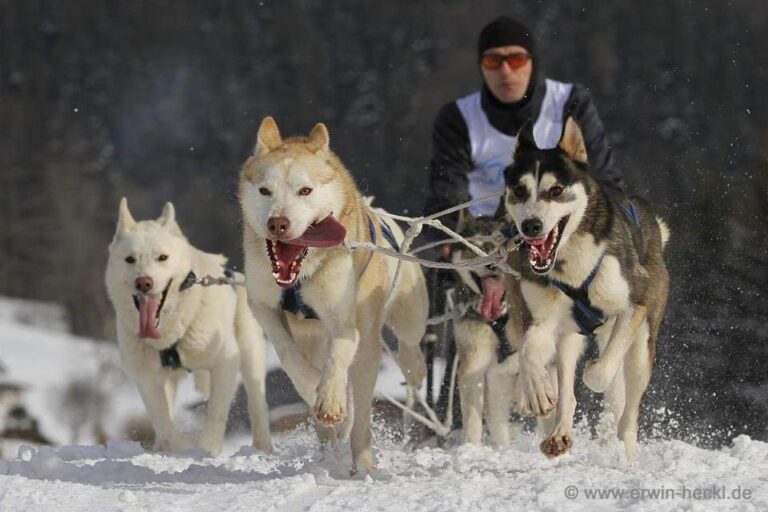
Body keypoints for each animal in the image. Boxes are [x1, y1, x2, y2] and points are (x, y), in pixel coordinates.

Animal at [105, 198, 273, 455]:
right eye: (130, 259)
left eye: (162, 257)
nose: (143, 282)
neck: (170, 333)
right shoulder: (147, 377)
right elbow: (163, 421)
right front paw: (173, 447)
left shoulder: (225, 362)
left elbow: (216, 414)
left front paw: (206, 450)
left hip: (250, 354)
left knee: (257, 401)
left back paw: (263, 447)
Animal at [238, 117, 428, 473]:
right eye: (265, 190)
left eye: (305, 190)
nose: (277, 223)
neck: (300, 277)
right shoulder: (262, 305)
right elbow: (288, 354)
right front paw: (314, 386)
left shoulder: (343, 319)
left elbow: (339, 353)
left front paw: (329, 398)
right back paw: (331, 448)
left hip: (401, 319)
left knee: (394, 359)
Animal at [503, 117, 669, 461]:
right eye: (519, 190)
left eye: (556, 190)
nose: (531, 226)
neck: (570, 267)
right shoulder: (544, 319)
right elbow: (529, 351)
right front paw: (537, 390)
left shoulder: (634, 304)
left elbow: (599, 374)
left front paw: (594, 370)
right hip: (569, 336)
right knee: (567, 389)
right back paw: (558, 432)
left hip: (641, 344)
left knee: (628, 411)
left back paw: (625, 456)